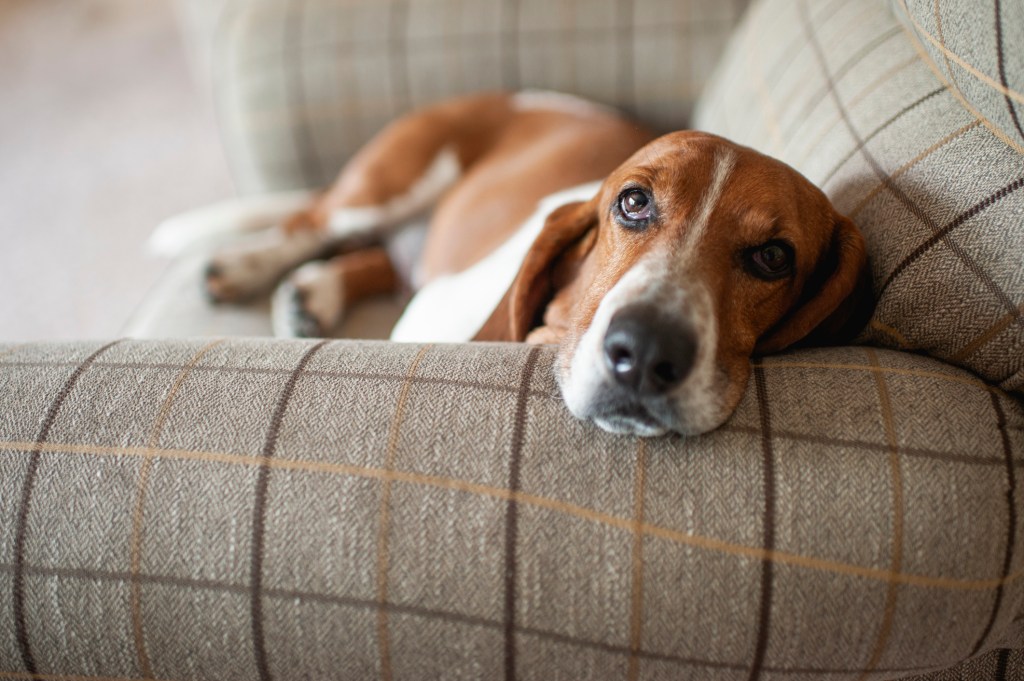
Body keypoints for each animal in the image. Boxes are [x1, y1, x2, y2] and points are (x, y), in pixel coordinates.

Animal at [186, 91, 872, 436]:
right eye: (633, 202)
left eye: (773, 256)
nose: (646, 351)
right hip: (383, 186)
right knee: (308, 224)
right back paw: (245, 267)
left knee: (374, 258)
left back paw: (316, 293)